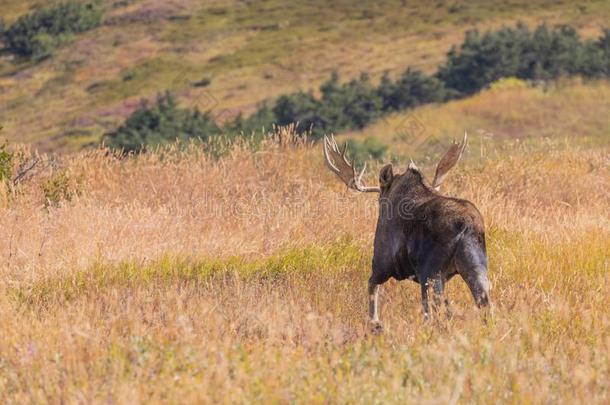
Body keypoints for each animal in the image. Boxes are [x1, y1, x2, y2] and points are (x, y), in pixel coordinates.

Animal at [324, 134, 490, 330]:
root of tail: (466, 226)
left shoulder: (382, 261)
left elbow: (372, 286)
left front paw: (374, 322)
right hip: (475, 266)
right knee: (484, 303)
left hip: (431, 271)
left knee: (438, 308)